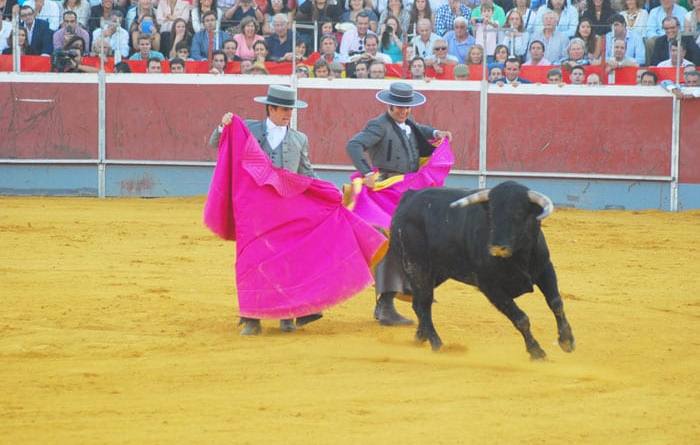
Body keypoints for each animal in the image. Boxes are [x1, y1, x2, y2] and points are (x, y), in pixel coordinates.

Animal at [387, 181, 575, 360]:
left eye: (518, 214)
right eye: (491, 214)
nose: (497, 248)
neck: (517, 256)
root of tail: (409, 197)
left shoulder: (545, 269)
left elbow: (556, 303)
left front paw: (567, 341)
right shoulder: (489, 286)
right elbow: (520, 318)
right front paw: (536, 352)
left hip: (437, 272)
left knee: (419, 302)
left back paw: (420, 337)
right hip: (417, 266)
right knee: (423, 304)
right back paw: (437, 344)